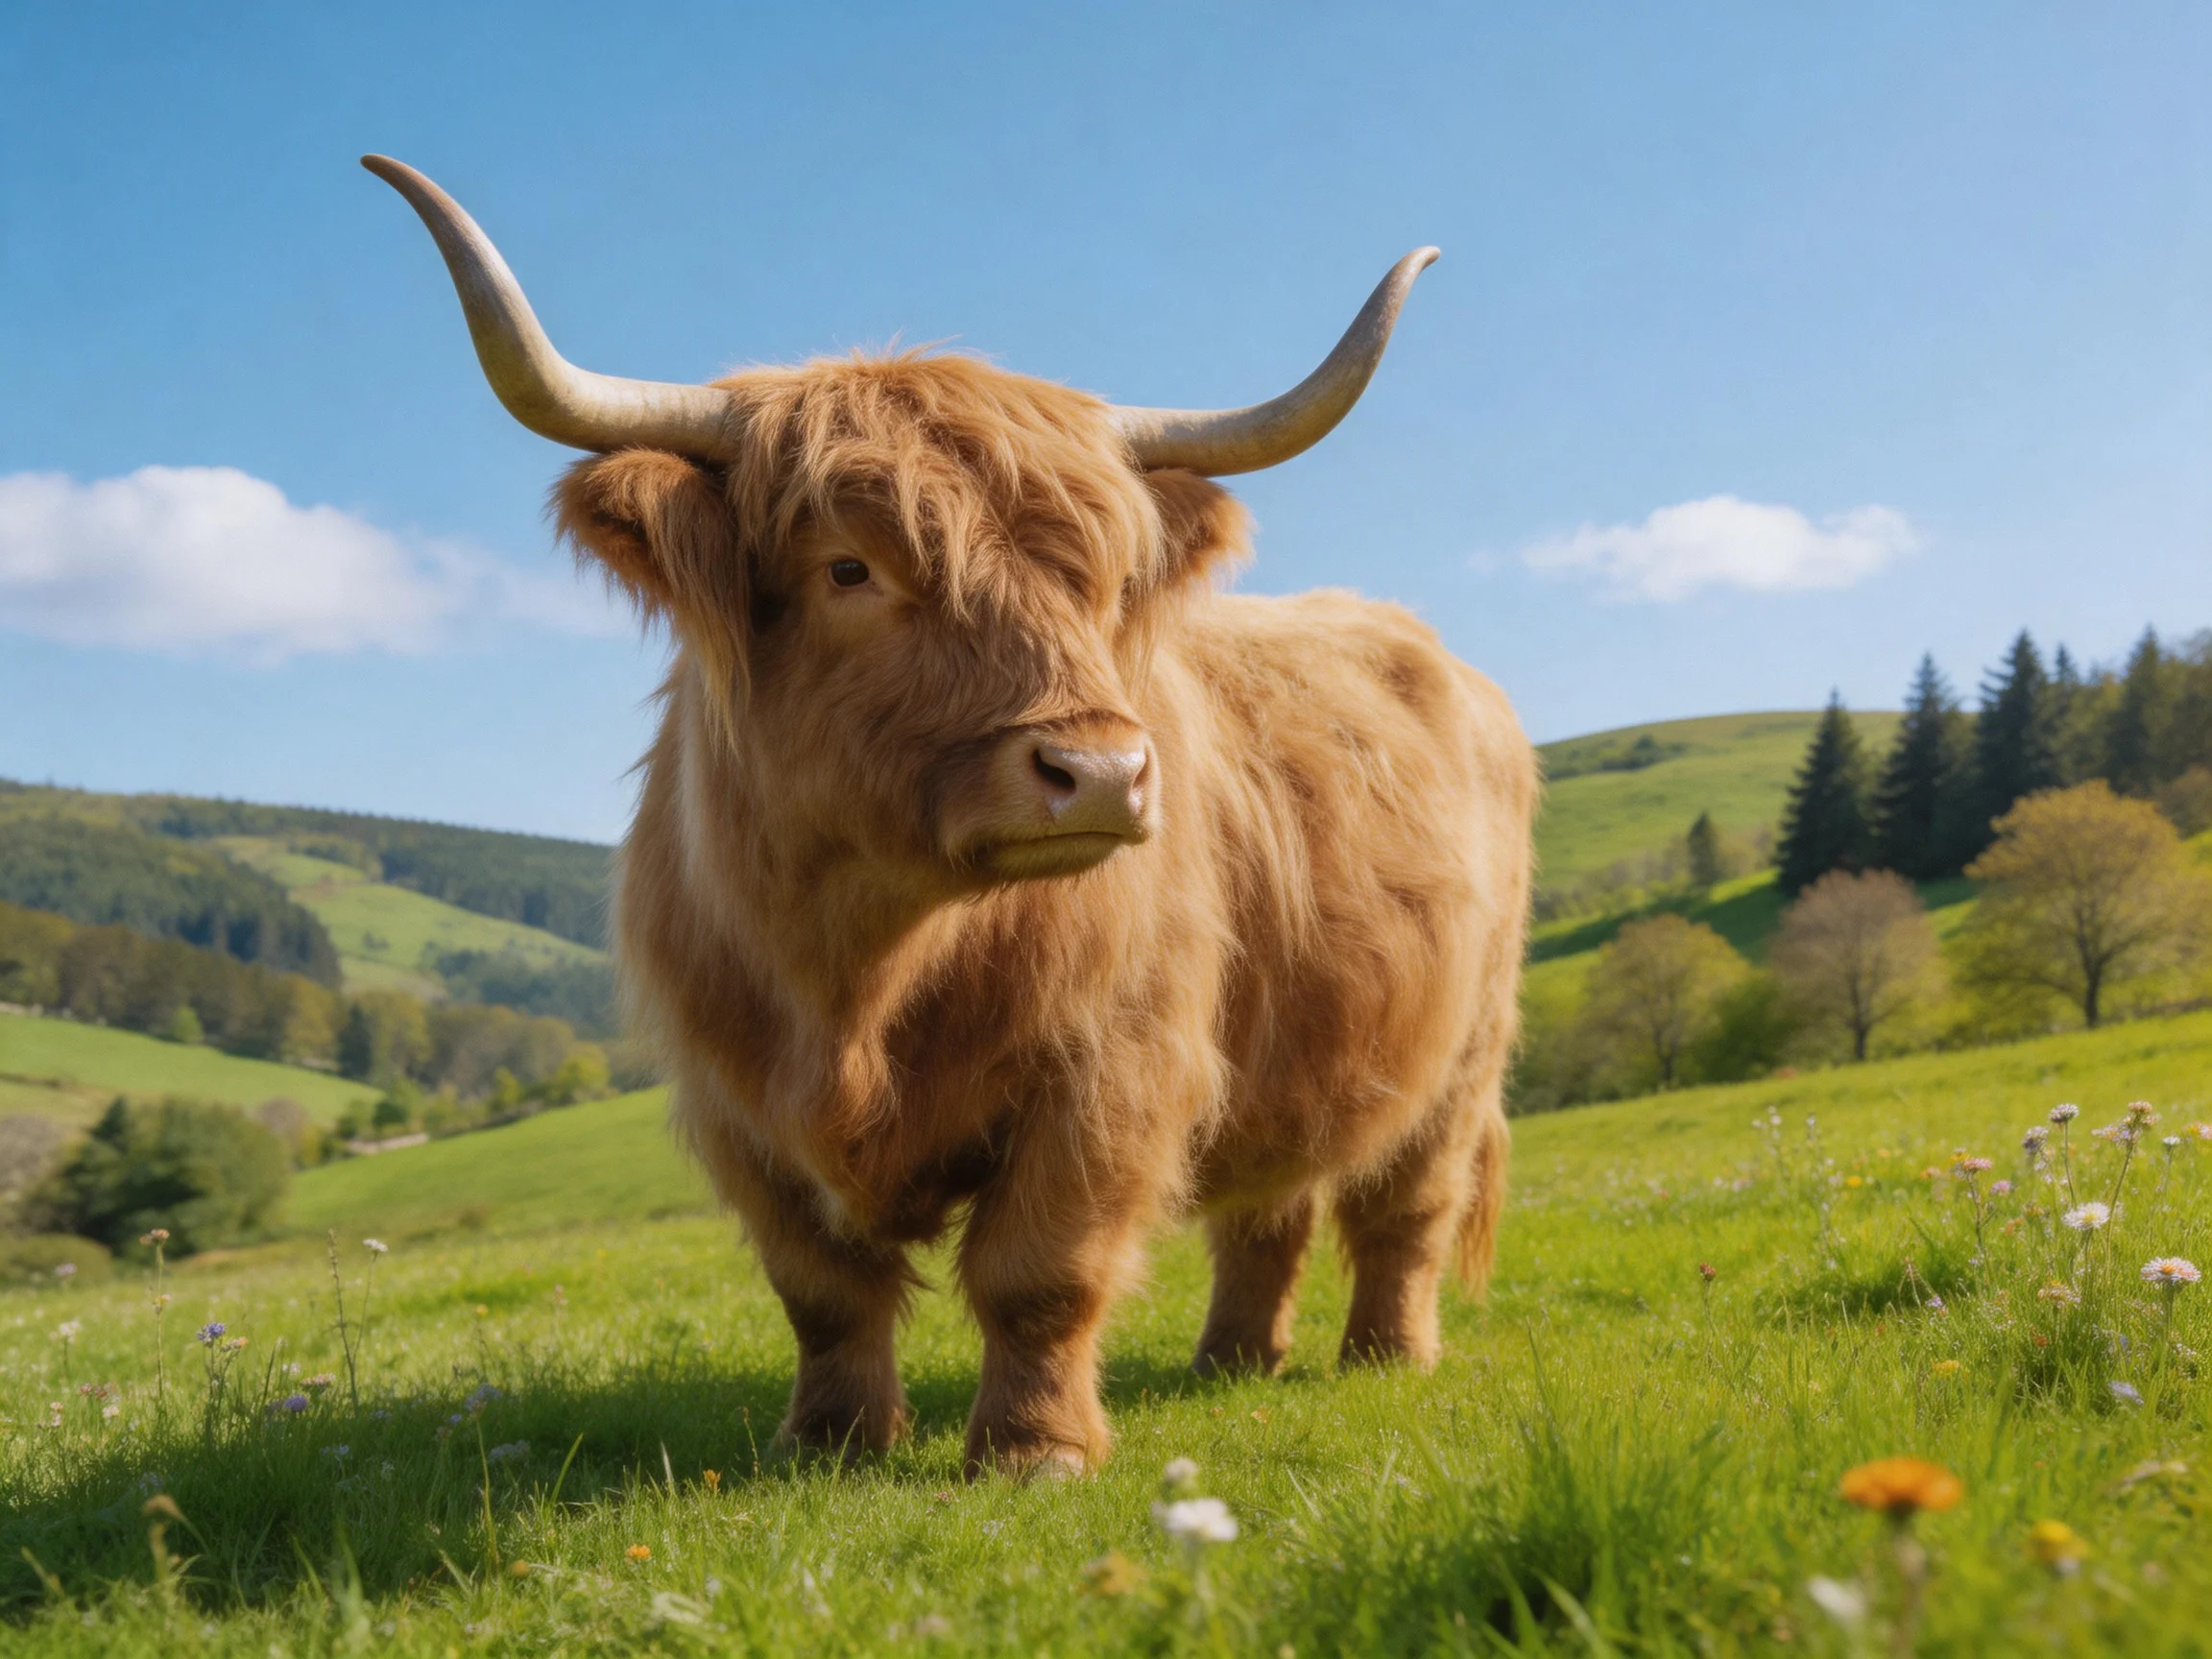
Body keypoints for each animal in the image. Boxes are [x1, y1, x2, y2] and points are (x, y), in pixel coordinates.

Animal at [367, 156, 1536, 1478]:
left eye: (1099, 578)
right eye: (849, 568)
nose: (1103, 770)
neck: (856, 975)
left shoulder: (1110, 1064)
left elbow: (1040, 1270)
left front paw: (1035, 1452)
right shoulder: (735, 1103)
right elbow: (822, 1290)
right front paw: (831, 1443)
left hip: (1463, 1051)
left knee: (1405, 1207)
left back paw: (1386, 1356)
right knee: (1267, 1209)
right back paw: (1231, 1361)